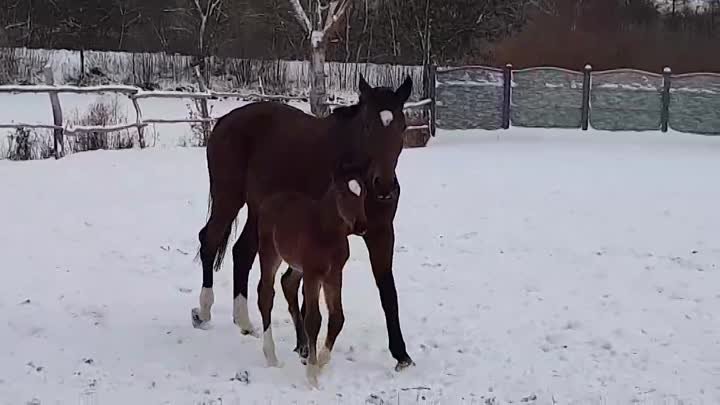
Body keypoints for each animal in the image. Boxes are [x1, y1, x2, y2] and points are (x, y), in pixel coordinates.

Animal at [255, 166, 366, 386]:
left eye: (364, 193)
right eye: (342, 194)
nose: (361, 226)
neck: (325, 232)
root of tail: (270, 200)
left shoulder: (334, 275)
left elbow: (337, 317)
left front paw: (320, 360)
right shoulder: (312, 274)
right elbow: (314, 319)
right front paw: (312, 374)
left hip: (297, 266)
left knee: (287, 283)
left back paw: (303, 350)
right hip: (270, 253)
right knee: (265, 295)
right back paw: (271, 356)